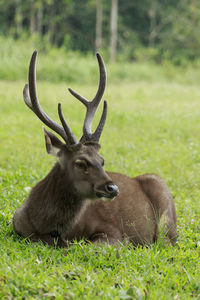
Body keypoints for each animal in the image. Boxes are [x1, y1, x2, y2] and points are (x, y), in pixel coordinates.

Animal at [12, 51, 177, 247]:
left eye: (102, 161)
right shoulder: (18, 226)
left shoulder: (113, 231)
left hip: (166, 215)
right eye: (80, 163)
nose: (113, 188)